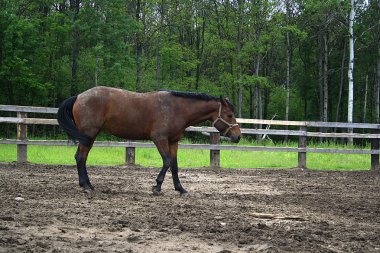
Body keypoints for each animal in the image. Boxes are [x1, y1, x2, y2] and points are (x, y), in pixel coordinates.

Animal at [57, 86, 240, 195]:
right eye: (229, 115)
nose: (238, 136)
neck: (177, 108)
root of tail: (79, 96)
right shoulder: (159, 139)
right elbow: (167, 162)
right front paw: (157, 186)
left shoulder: (173, 141)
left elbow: (174, 166)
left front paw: (180, 188)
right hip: (89, 134)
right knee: (81, 157)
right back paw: (86, 186)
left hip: (90, 136)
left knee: (82, 158)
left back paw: (88, 184)